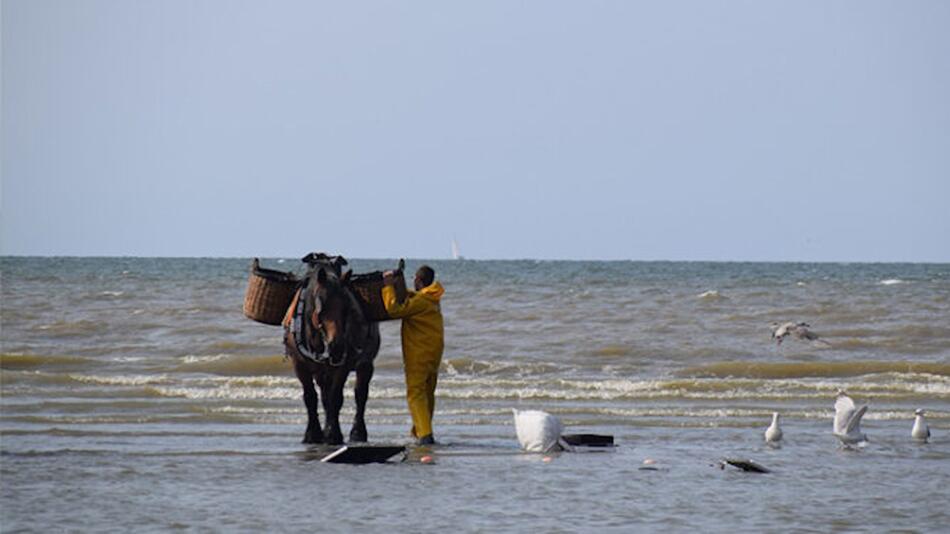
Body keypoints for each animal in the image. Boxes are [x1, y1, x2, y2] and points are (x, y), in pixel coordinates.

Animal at [284, 255, 382, 448]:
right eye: (321, 308)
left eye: (347, 308)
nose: (337, 346)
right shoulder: (300, 366)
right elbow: (310, 397)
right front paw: (313, 434)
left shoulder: (341, 367)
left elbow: (336, 398)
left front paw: (332, 434)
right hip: (321, 372)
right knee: (324, 396)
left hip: (365, 364)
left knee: (360, 395)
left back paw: (358, 432)